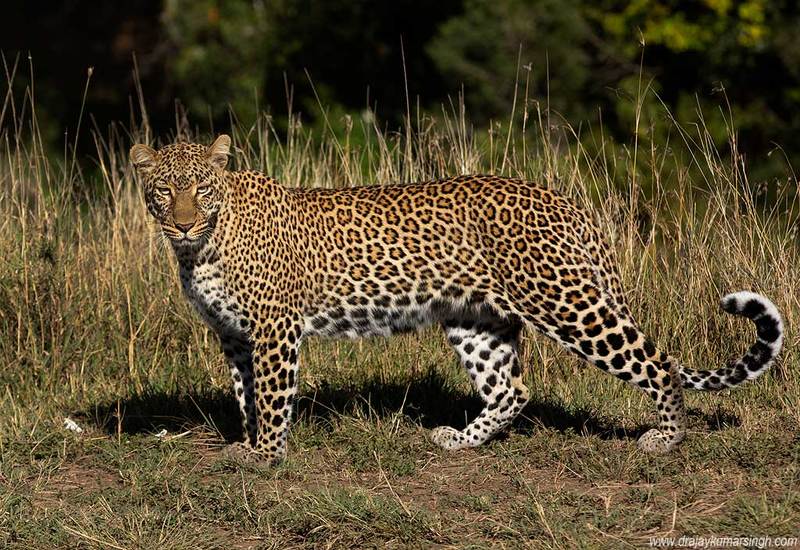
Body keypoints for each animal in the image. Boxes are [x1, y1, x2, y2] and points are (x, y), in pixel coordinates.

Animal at [129, 134, 784, 464]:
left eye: (202, 189)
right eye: (163, 191)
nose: (183, 224)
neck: (201, 248)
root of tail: (562, 199)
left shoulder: (273, 329)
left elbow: (269, 397)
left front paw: (265, 457)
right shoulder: (234, 334)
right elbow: (245, 395)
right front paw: (245, 446)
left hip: (569, 304)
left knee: (659, 363)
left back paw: (666, 439)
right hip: (477, 320)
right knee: (512, 390)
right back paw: (459, 441)